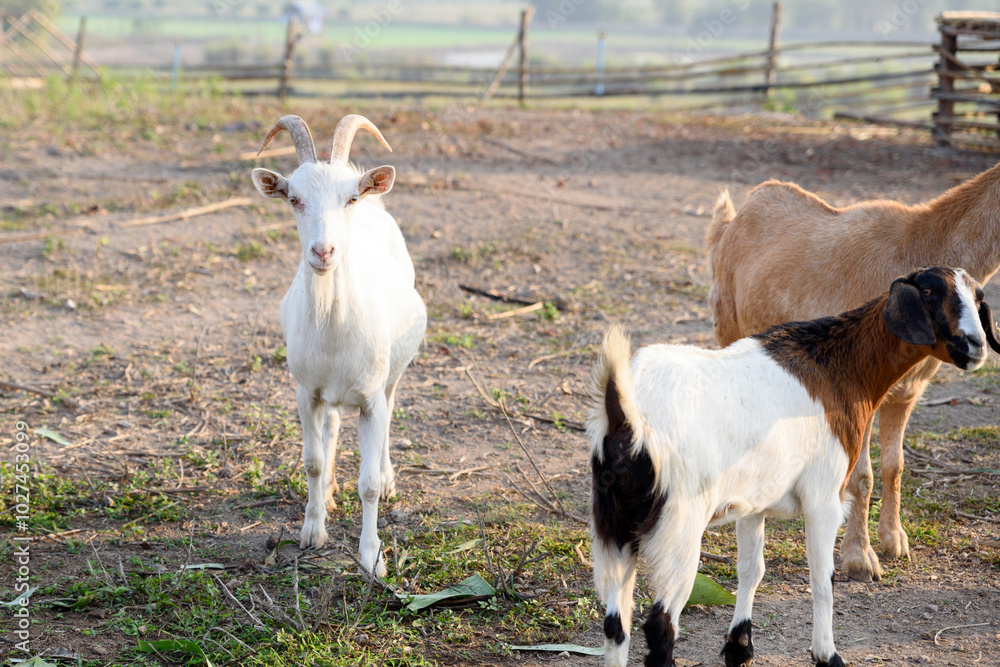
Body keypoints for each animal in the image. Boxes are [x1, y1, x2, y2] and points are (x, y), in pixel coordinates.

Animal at [250, 114, 426, 576]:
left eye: (349, 199)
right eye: (294, 199)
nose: (323, 251)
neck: (334, 328)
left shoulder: (370, 397)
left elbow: (367, 485)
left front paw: (372, 557)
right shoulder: (305, 391)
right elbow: (311, 462)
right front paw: (312, 531)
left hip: (393, 373)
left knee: (391, 412)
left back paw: (388, 477)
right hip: (327, 394)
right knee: (330, 426)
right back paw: (329, 489)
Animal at [589, 267, 999, 667]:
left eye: (978, 298)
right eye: (930, 293)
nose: (976, 345)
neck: (838, 367)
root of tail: (628, 419)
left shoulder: (752, 502)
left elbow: (751, 570)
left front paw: (740, 647)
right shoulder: (824, 497)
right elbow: (822, 578)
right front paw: (827, 655)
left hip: (613, 531)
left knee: (615, 625)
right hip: (679, 527)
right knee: (660, 628)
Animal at [706, 167, 1000, 581]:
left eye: (977, 299)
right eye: (931, 292)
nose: (975, 346)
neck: (921, 239)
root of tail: (735, 217)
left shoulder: (905, 392)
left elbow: (895, 467)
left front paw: (894, 541)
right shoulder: (860, 391)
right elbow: (862, 477)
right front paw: (860, 558)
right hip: (728, 325)